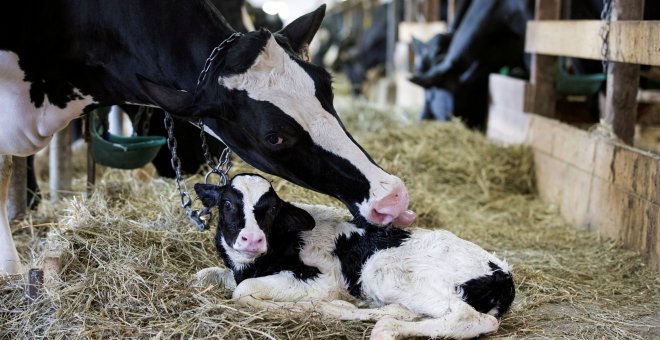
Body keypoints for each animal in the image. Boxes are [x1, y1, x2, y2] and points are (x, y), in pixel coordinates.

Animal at [193, 175, 512, 340]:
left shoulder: (322, 279)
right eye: (226, 204)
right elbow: (203, 277)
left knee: (470, 317)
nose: (252, 239)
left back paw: (386, 328)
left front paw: (303, 307)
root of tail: (503, 273)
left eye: (271, 209)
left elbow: (243, 292)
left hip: (384, 269)